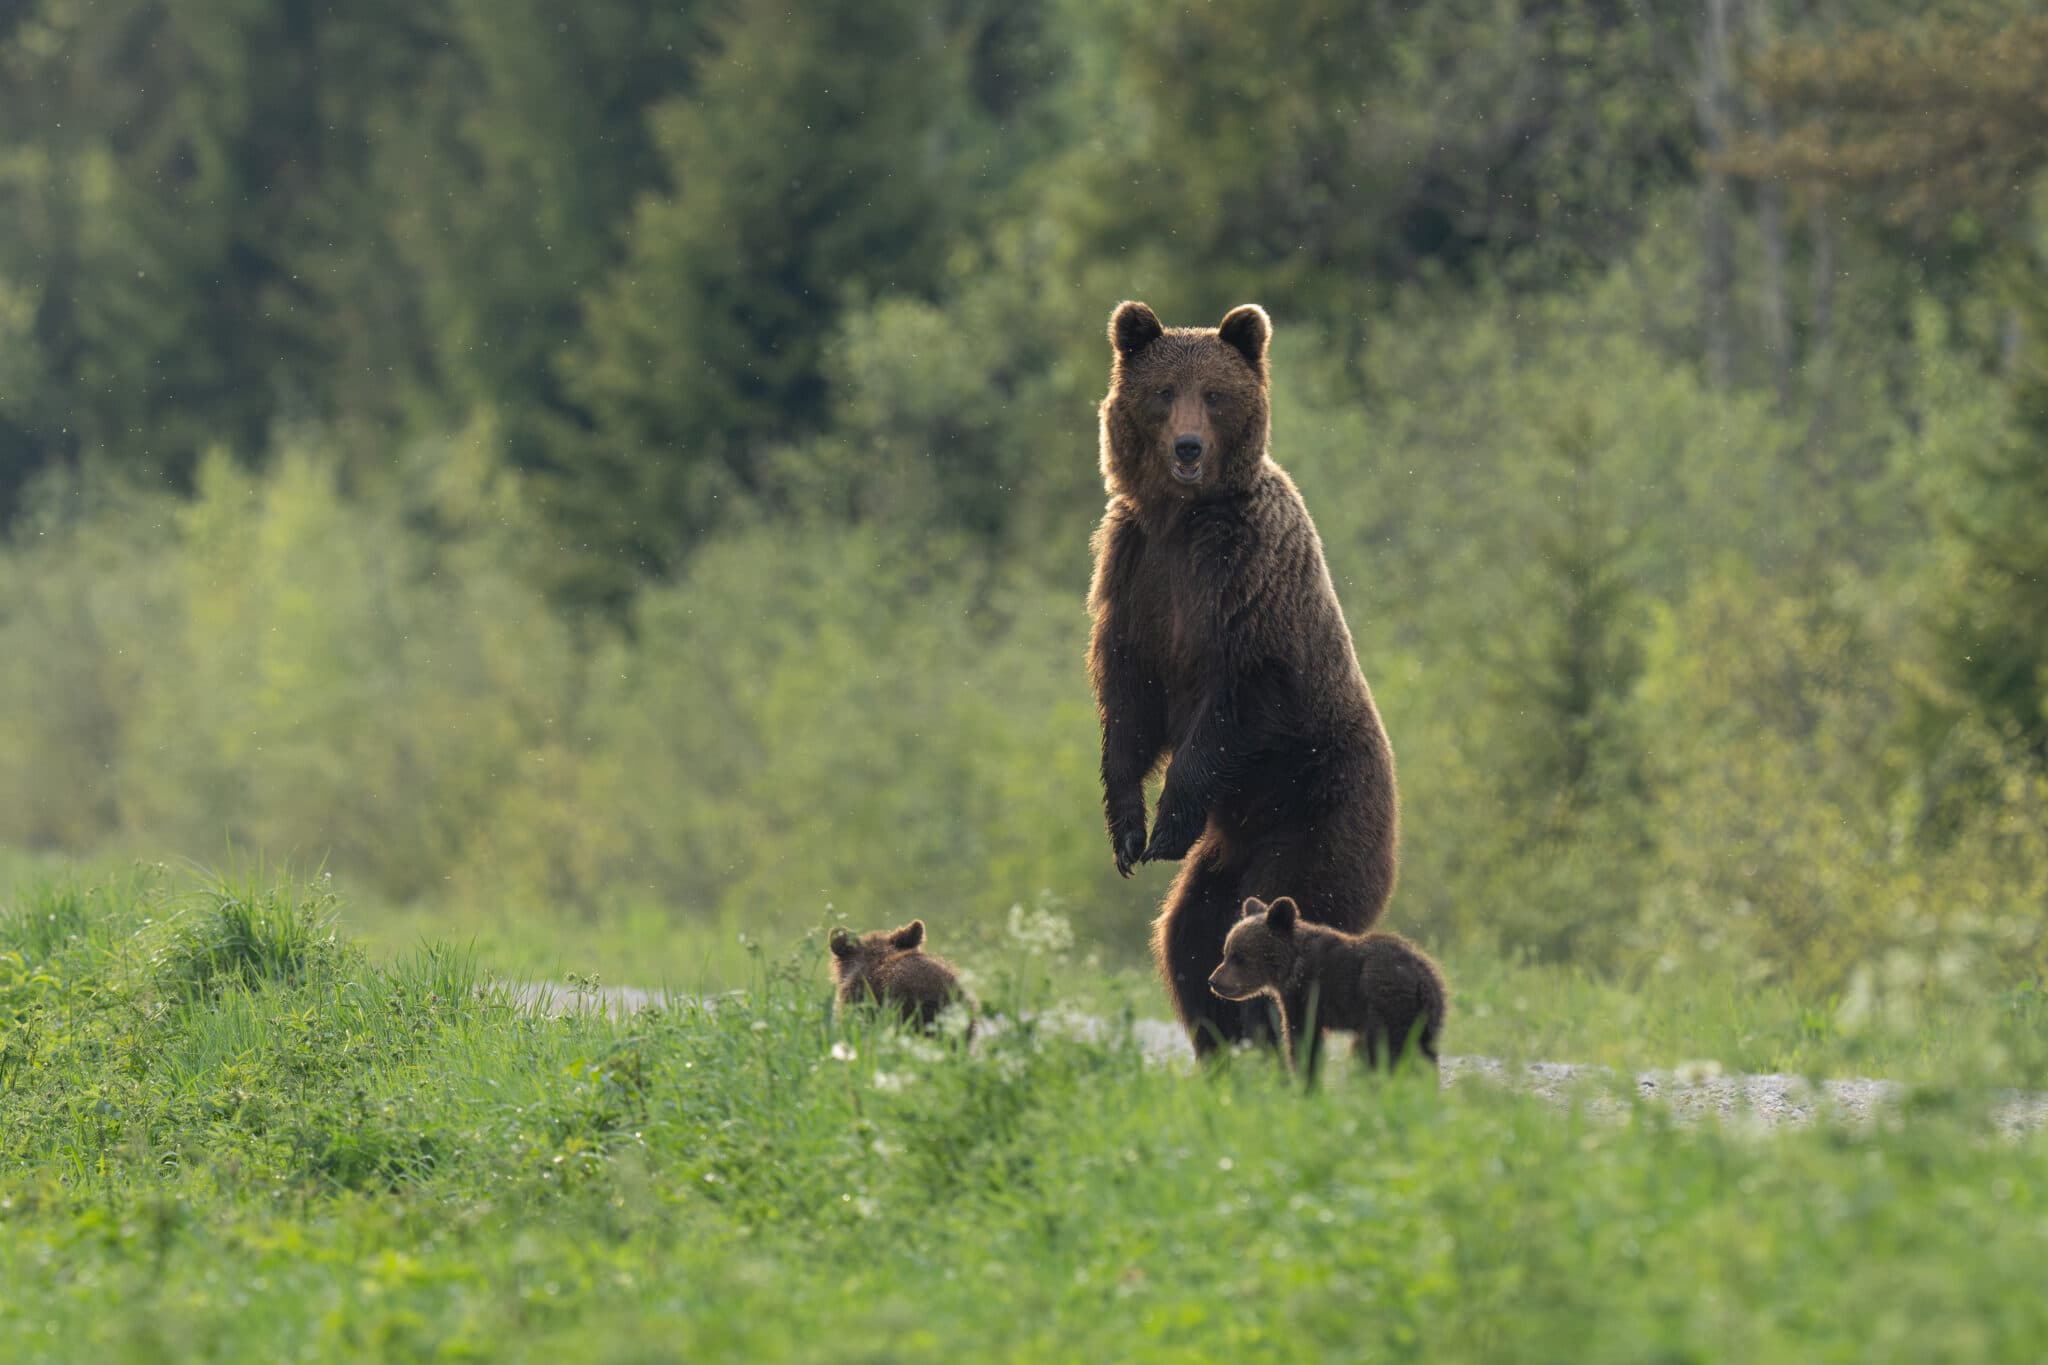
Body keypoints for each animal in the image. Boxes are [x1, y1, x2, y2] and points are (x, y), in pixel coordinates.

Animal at [1087, 300, 1400, 1055]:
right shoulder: (1135, 574)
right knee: (1190, 936)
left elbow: (1235, 706)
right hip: (1224, 859)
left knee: (1292, 910)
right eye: (1165, 391)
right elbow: (1127, 703)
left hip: (1316, 816)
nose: (1188, 448)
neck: (1182, 518)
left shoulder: (1244, 583)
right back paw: (1230, 1046)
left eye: (1215, 394)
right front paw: (1129, 831)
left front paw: (1168, 822)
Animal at [1208, 896, 1445, 1078]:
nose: (1213, 981)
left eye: (1239, 956)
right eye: (1226, 952)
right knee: (1423, 1055)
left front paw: (1304, 1079)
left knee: (1382, 1050)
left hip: (1385, 1003)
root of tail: (1422, 979)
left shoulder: (1306, 993)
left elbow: (1303, 1038)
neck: (1290, 967)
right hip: (1426, 1017)